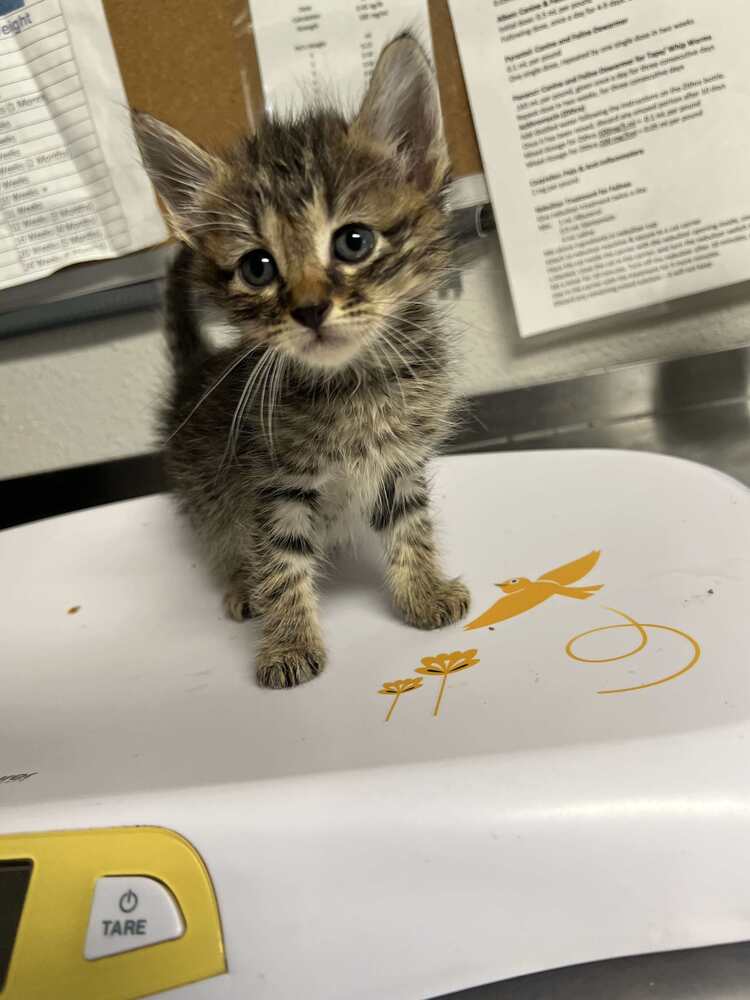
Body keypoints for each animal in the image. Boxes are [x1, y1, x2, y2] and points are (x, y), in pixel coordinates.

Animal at [132, 33, 468, 688]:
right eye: (258, 267)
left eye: (353, 241)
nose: (310, 308)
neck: (352, 387)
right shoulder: (267, 484)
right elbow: (280, 560)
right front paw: (287, 642)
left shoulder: (398, 460)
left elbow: (409, 524)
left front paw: (422, 592)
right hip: (204, 493)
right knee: (222, 540)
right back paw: (242, 588)